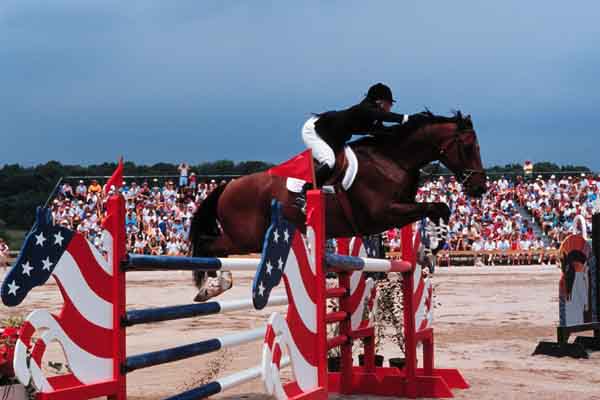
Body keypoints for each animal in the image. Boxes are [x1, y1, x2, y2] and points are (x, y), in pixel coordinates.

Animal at [190, 111, 486, 300]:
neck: (393, 160)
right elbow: (436, 208)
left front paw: (430, 250)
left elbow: (440, 207)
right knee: (210, 246)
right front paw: (433, 246)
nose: (480, 187)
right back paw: (211, 286)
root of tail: (229, 185)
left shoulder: (398, 209)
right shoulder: (383, 213)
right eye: (469, 146)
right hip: (246, 237)